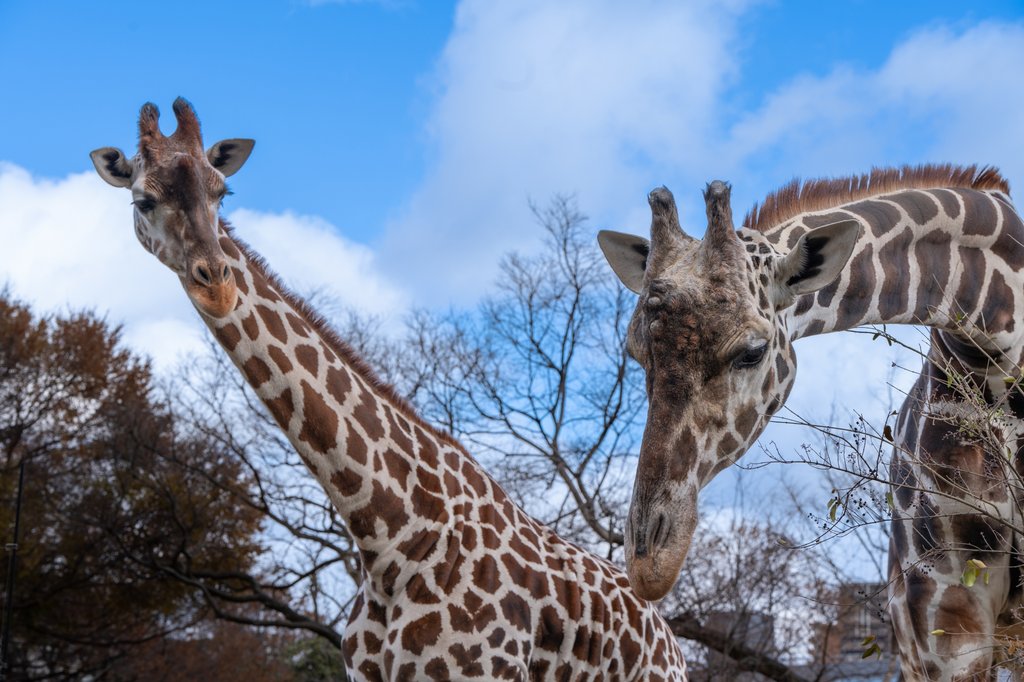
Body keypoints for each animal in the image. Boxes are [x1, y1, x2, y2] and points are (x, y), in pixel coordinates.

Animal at [89, 99, 687, 682]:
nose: (216, 282)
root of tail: (669, 640)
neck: (387, 537)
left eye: (222, 192)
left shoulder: (479, 675)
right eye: (143, 200)